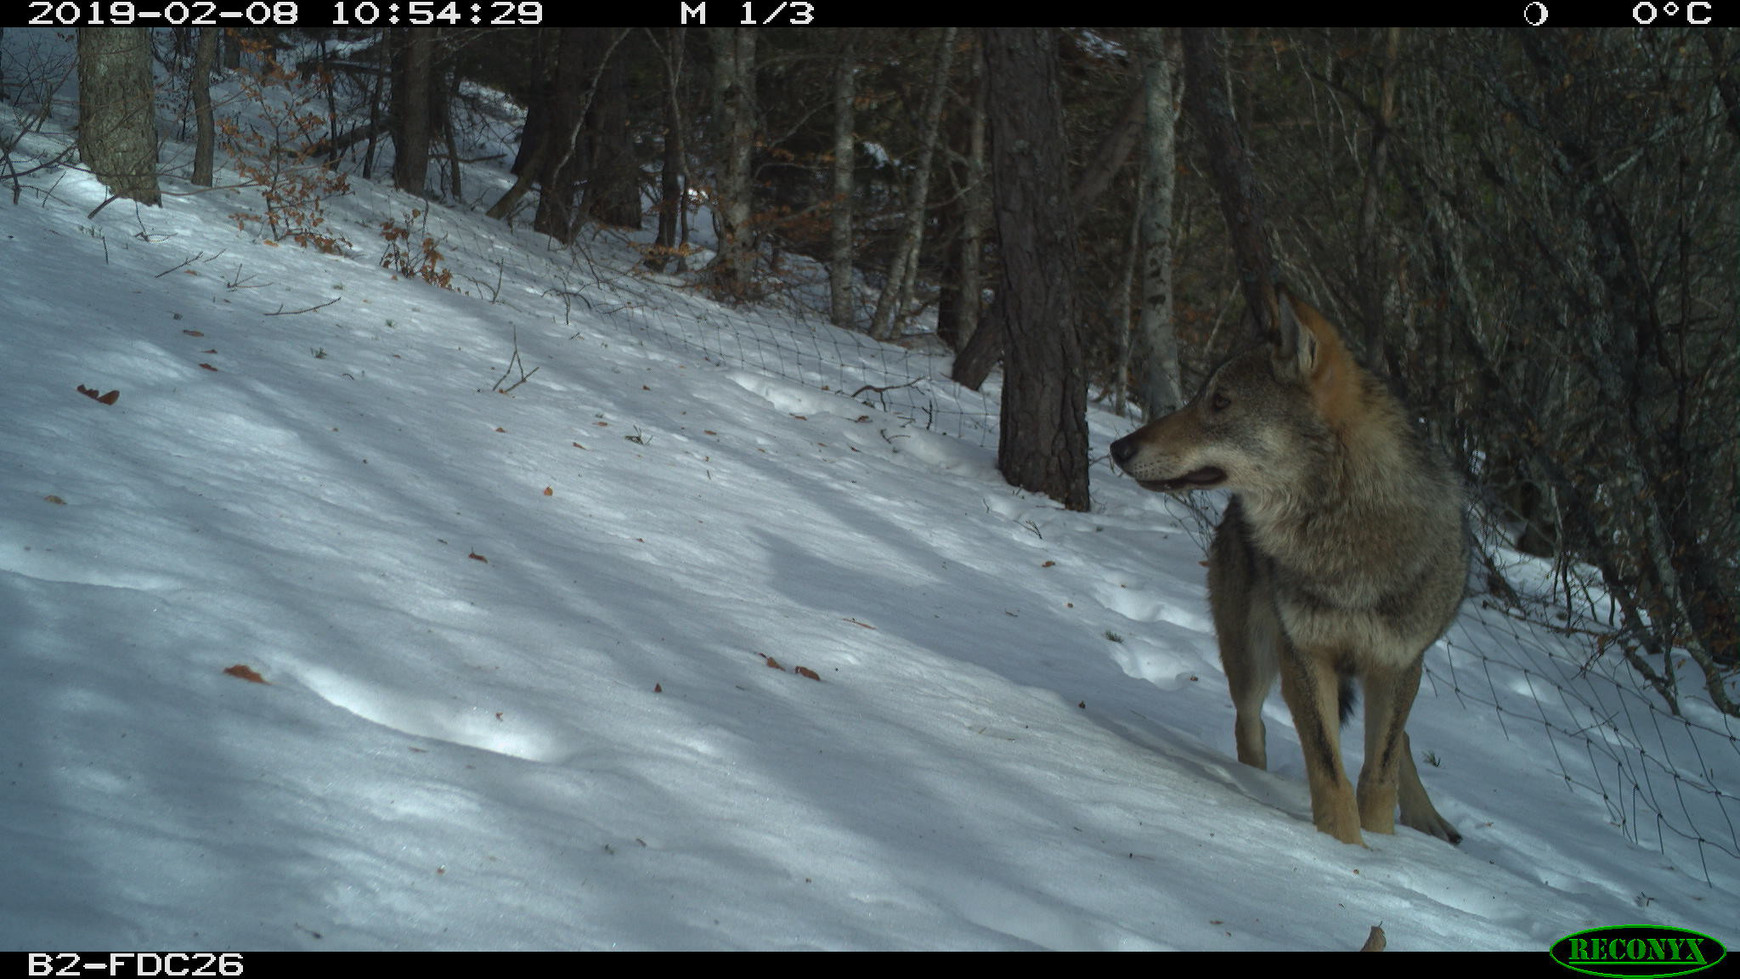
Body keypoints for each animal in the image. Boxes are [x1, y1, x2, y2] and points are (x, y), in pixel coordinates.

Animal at [1106, 286, 1461, 845]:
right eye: (1203, 395)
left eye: (1220, 401)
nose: (1118, 448)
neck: (1346, 539)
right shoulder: (1304, 655)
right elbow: (1330, 774)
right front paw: (1344, 849)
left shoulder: (1400, 662)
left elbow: (1378, 775)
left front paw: (1381, 848)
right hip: (1251, 659)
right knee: (1249, 726)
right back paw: (1254, 784)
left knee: (1399, 741)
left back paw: (1429, 819)